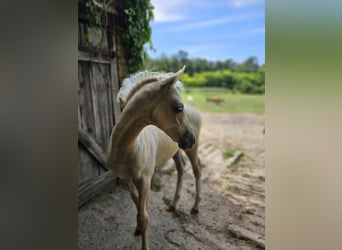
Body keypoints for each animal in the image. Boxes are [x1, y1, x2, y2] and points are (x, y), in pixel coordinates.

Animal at [107, 66, 202, 250]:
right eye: (179, 107)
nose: (191, 138)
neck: (127, 148)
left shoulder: (145, 180)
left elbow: (144, 217)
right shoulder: (127, 180)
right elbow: (136, 203)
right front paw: (137, 228)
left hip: (191, 150)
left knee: (197, 171)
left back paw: (194, 207)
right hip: (177, 150)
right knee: (181, 168)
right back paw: (173, 204)